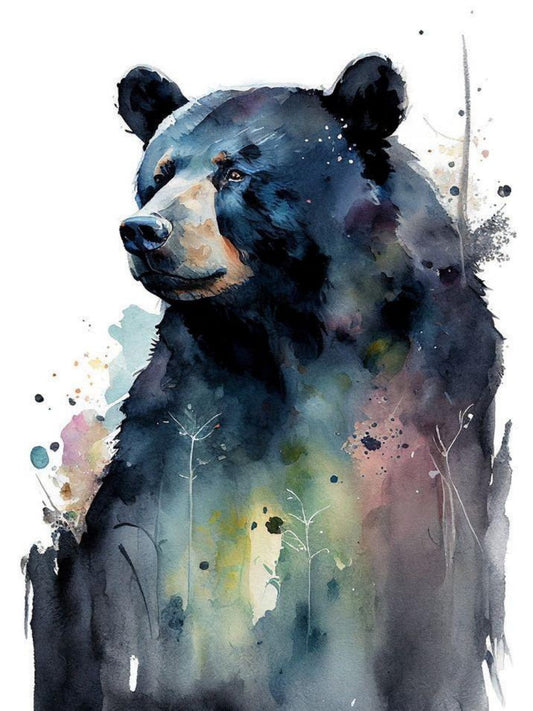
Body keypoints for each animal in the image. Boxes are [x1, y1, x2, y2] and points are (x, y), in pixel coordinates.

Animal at [28, 56, 504, 711]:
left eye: (235, 171)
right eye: (159, 175)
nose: (141, 229)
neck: (282, 337)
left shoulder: (428, 418)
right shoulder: (185, 424)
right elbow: (144, 557)